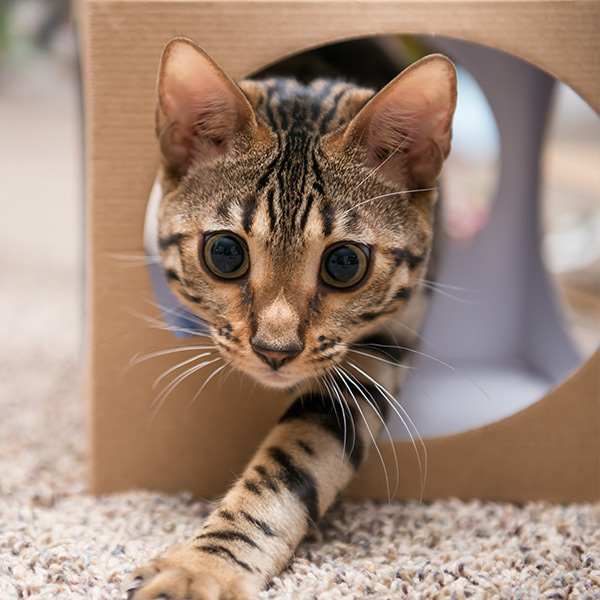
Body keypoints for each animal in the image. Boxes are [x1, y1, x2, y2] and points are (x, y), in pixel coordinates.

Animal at [125, 37, 454, 600]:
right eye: (225, 253)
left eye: (345, 263)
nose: (274, 350)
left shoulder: (382, 347)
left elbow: (291, 464)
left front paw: (205, 566)